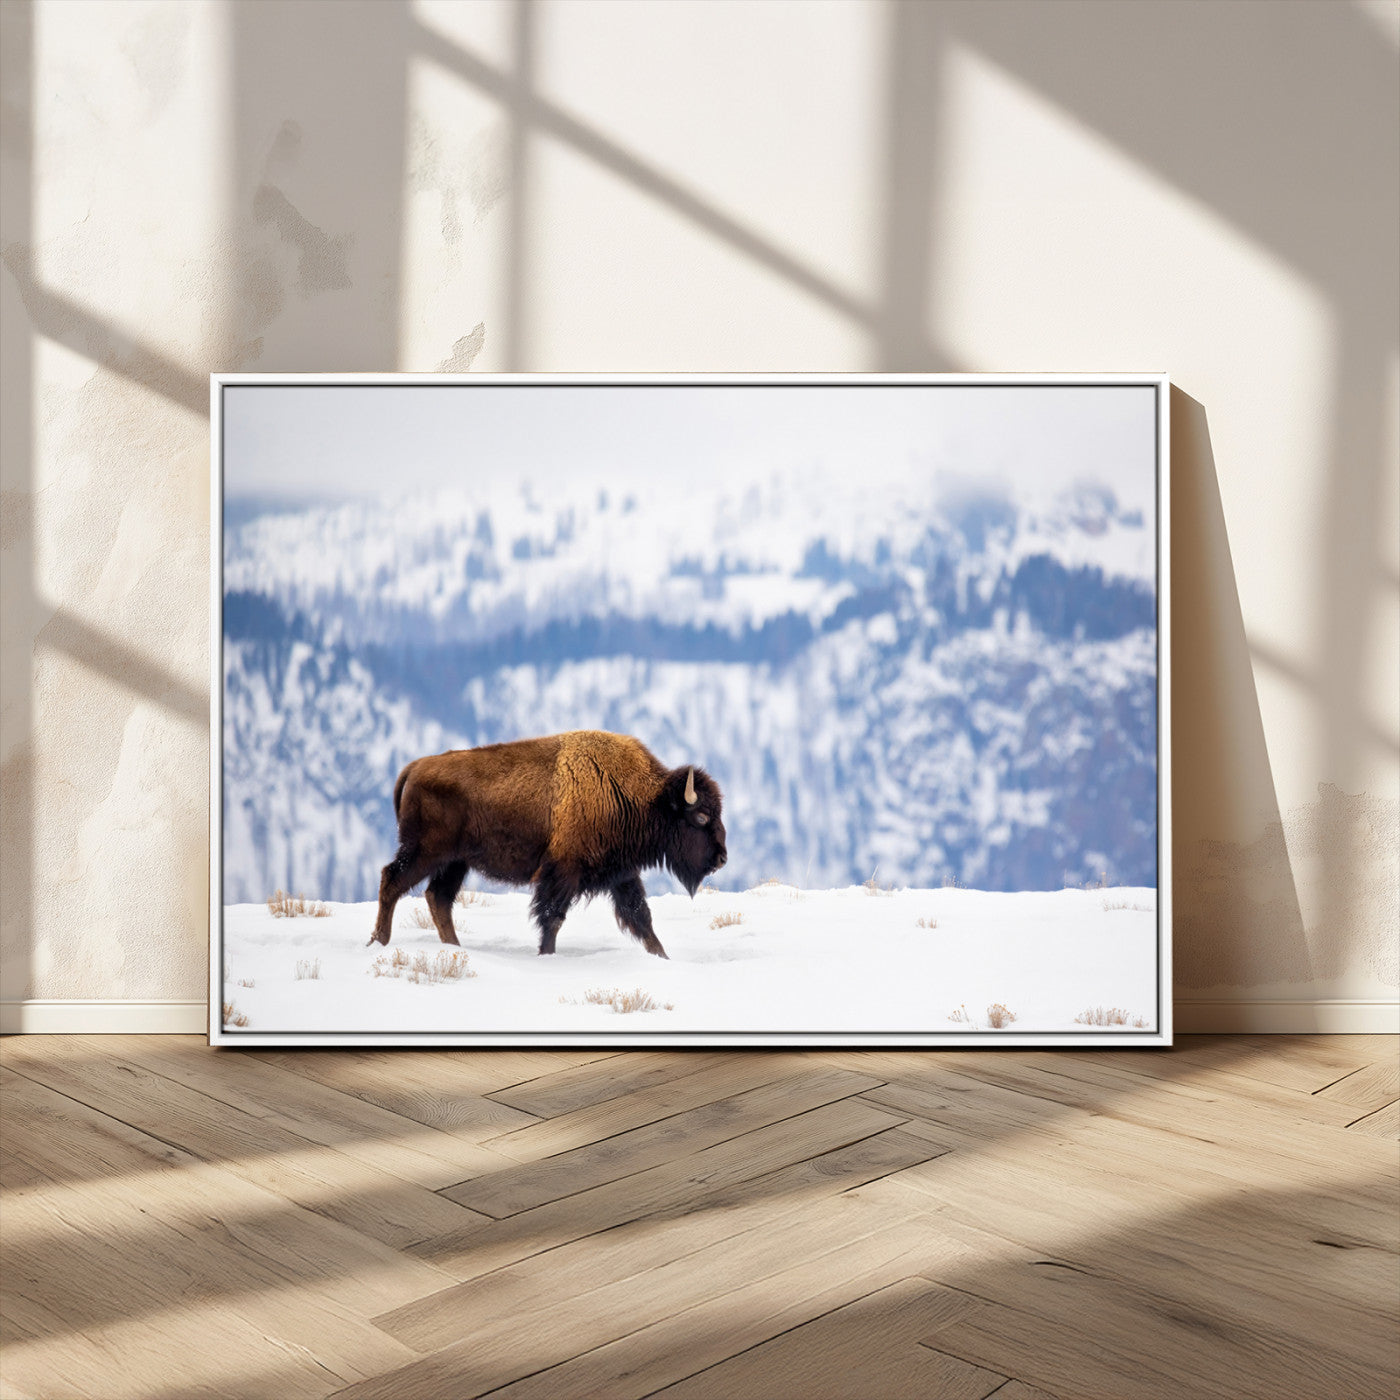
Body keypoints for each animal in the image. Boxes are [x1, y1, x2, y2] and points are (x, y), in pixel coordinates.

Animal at [370, 730, 727, 958]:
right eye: (701, 817)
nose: (722, 858)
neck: (638, 796)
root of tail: (414, 767)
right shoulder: (562, 873)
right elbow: (552, 917)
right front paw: (546, 955)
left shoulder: (622, 874)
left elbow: (641, 918)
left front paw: (663, 958)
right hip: (425, 852)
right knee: (393, 880)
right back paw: (379, 942)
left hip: (455, 862)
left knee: (438, 897)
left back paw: (453, 947)